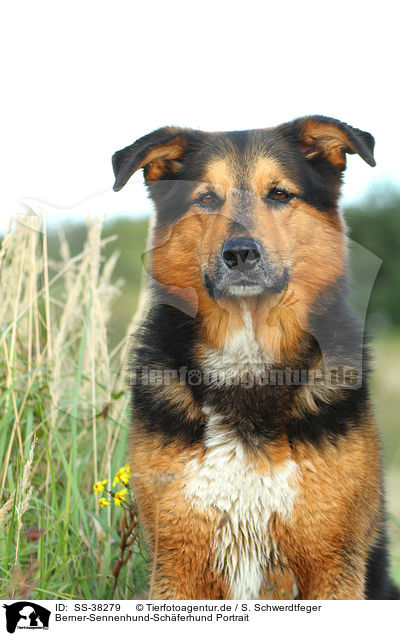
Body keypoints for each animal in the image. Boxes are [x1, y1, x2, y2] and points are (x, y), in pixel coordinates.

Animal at [111, 117, 396, 600]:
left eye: (279, 194)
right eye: (206, 197)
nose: (240, 253)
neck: (248, 353)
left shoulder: (333, 566)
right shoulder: (179, 562)